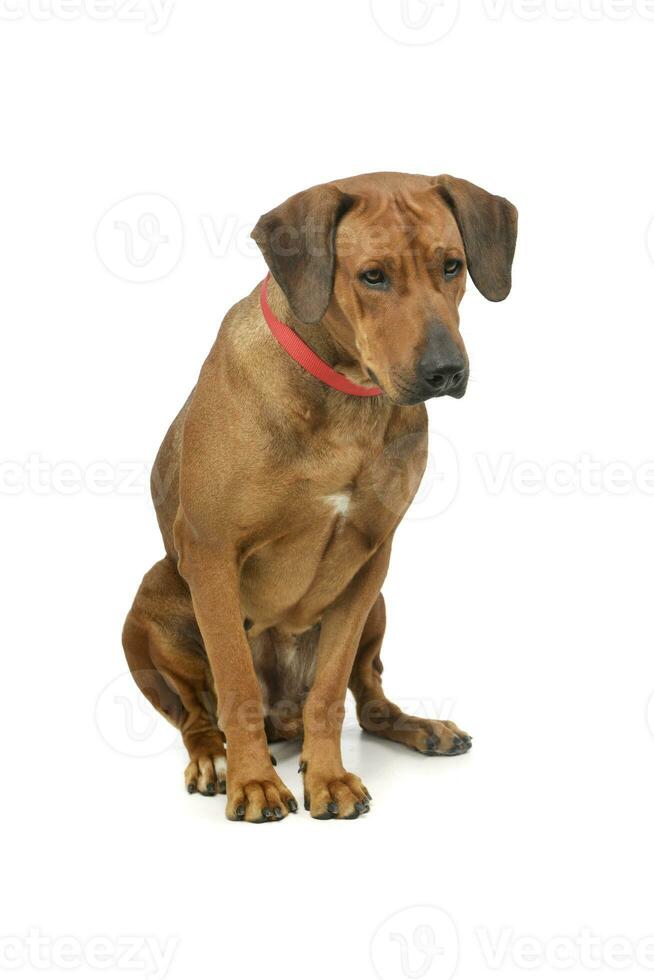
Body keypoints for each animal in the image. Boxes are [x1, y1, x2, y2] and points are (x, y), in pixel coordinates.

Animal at [123, 174, 520, 820]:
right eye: (373, 276)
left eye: (452, 265)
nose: (445, 371)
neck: (346, 391)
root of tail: (281, 715)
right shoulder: (211, 553)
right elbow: (234, 682)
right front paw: (255, 783)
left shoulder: (371, 559)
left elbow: (333, 690)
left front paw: (329, 777)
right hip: (157, 599)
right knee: (196, 716)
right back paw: (214, 760)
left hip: (379, 605)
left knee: (370, 701)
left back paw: (418, 729)